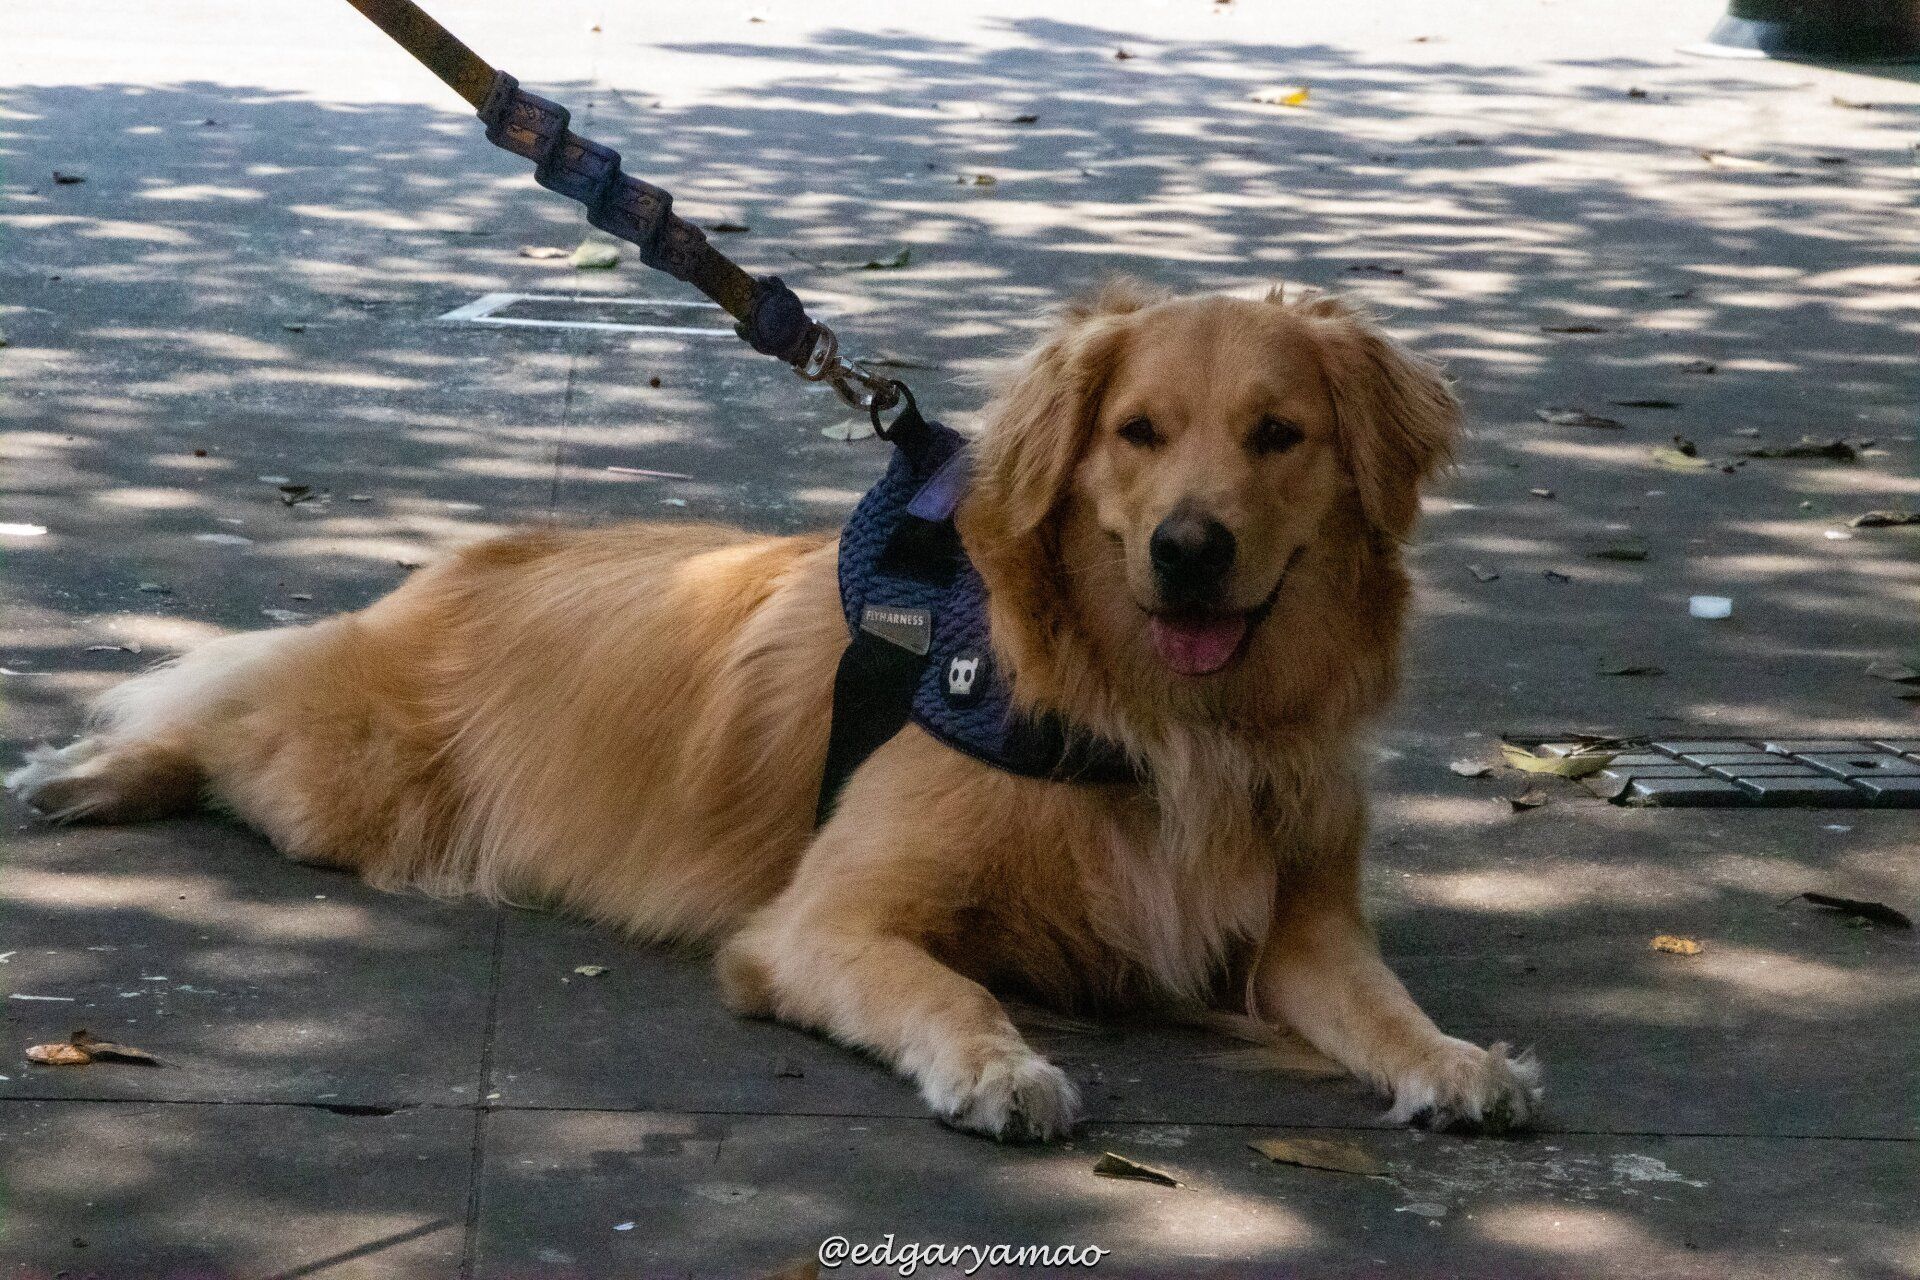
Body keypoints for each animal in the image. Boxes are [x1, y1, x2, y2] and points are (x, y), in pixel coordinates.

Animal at [7, 282, 1541, 1139]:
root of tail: (484, 553)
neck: (1155, 718)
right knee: (220, 705)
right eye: (1137, 434)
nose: (1190, 550)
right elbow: (952, 983)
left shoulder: (1300, 926)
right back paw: (86, 771)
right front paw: (997, 1068)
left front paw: (1457, 1059)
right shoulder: (822, 922)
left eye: (1279, 435)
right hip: (346, 776)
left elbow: (1381, 1003)